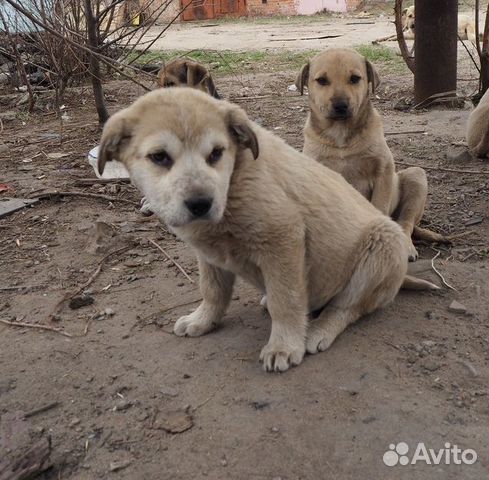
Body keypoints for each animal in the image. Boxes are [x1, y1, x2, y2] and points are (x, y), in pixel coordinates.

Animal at [97, 88, 436, 374]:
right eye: (159, 157)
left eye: (216, 153)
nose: (201, 204)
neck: (235, 180)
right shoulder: (209, 254)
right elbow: (212, 290)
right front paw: (203, 320)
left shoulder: (283, 237)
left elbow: (285, 300)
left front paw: (283, 346)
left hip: (384, 244)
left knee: (346, 306)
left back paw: (318, 330)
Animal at [296, 47, 444, 262]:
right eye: (322, 80)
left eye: (355, 78)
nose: (341, 105)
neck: (341, 135)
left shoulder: (383, 171)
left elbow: (379, 207)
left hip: (416, 176)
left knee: (405, 222)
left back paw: (406, 247)